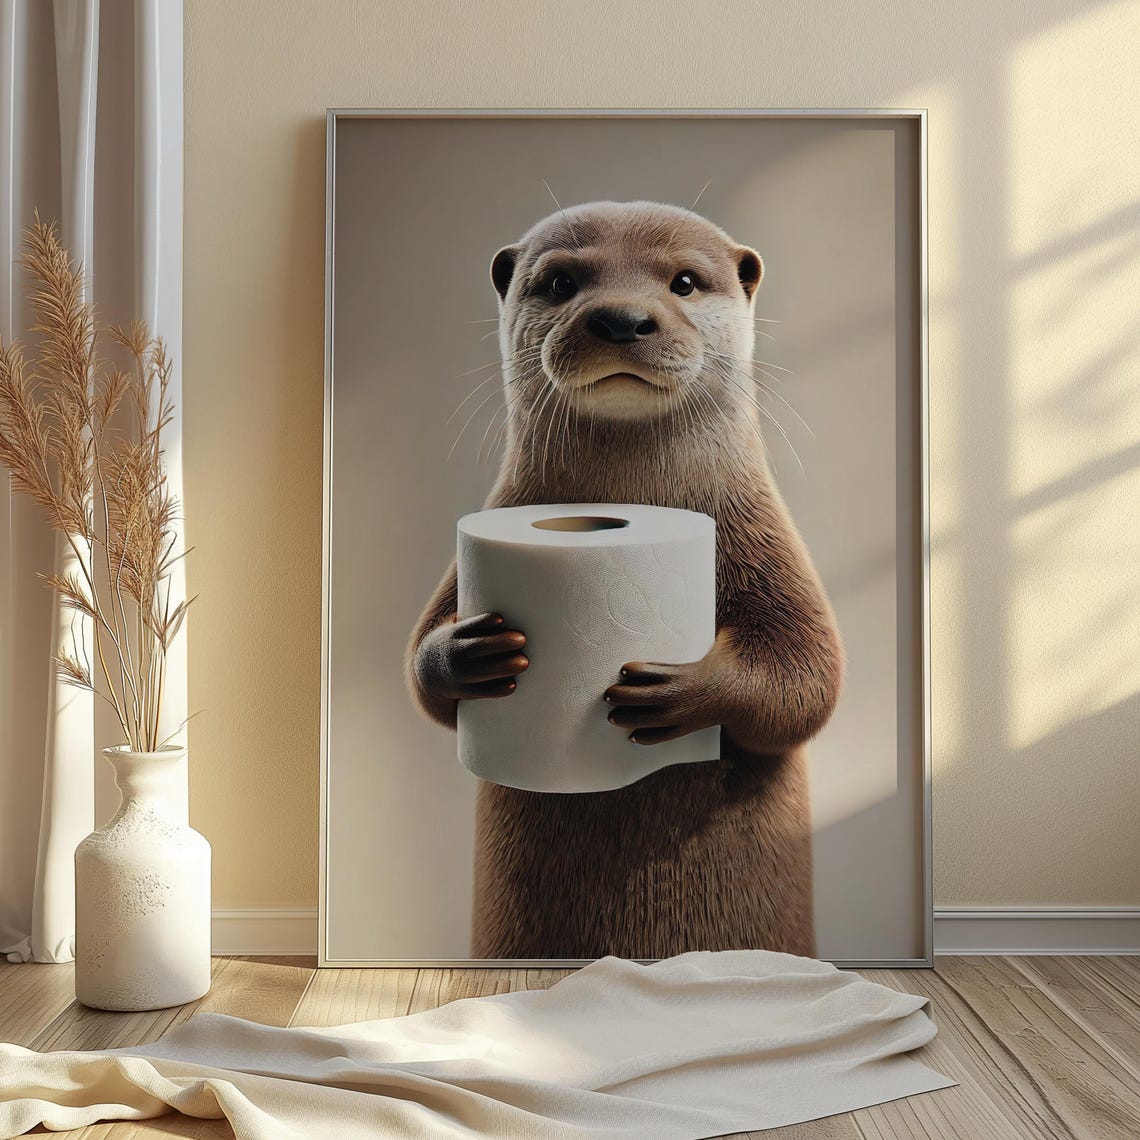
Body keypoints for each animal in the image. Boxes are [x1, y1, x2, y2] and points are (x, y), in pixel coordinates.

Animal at [406, 200, 843, 960]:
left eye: (686, 281)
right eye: (559, 282)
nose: (620, 319)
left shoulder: (773, 547)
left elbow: (808, 675)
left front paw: (681, 690)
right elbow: (420, 667)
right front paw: (470, 652)